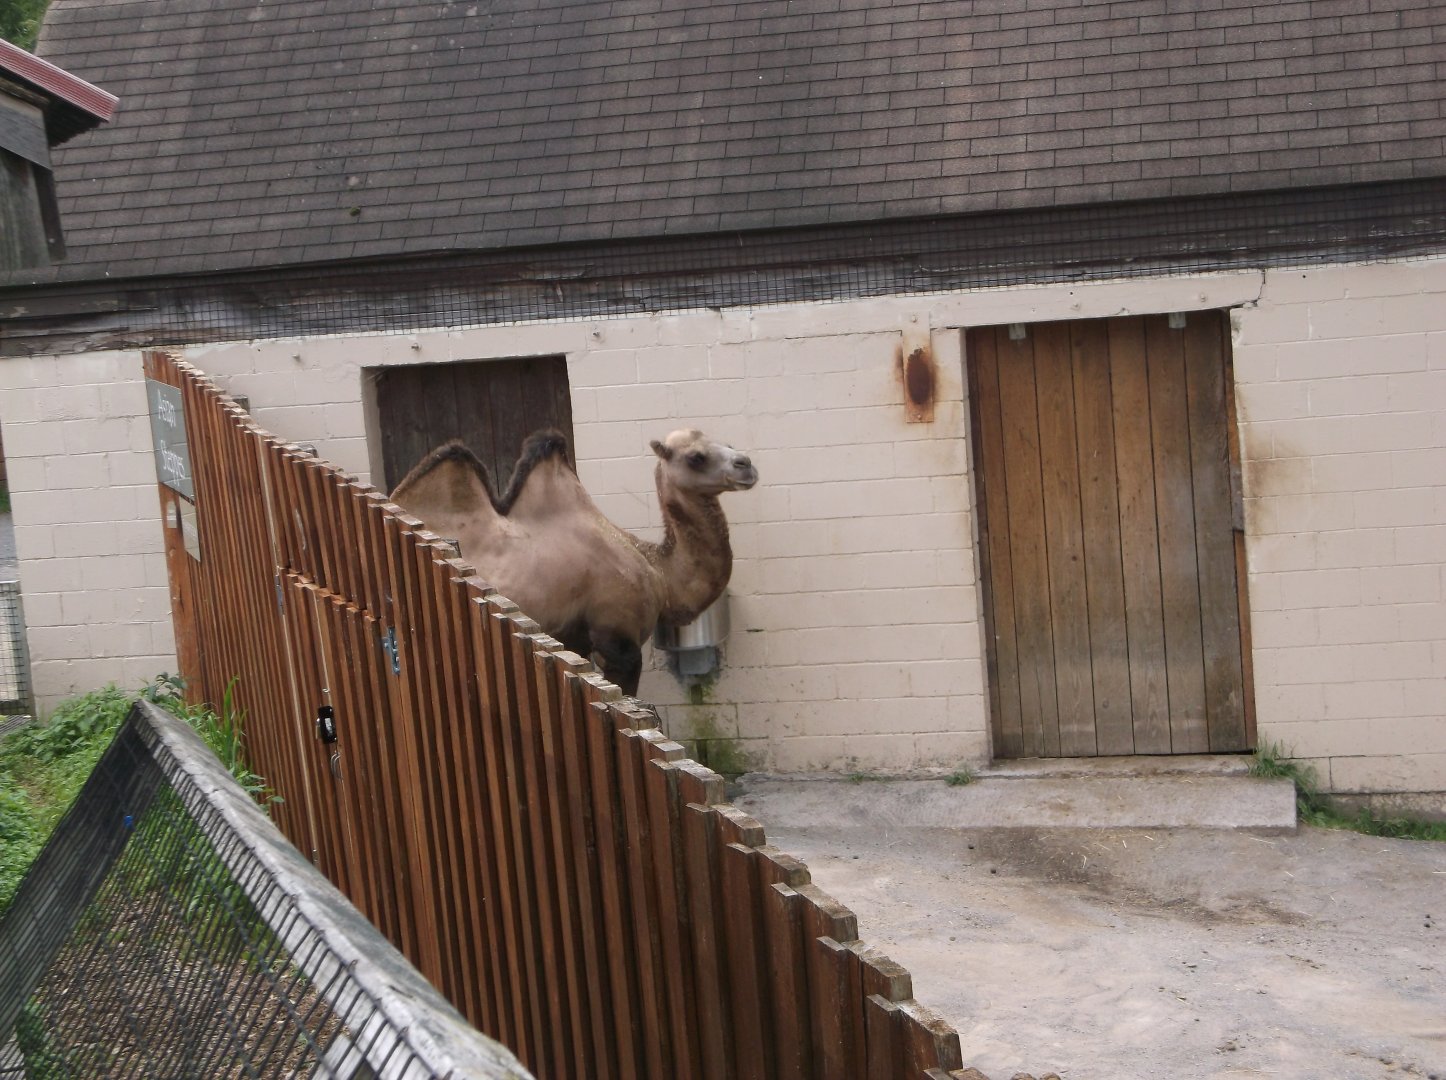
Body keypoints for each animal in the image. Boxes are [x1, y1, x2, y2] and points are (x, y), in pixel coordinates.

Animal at [390, 428, 758, 695]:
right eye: (696, 457)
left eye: (726, 443)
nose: (747, 465)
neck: (656, 568)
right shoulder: (617, 639)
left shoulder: (573, 639)